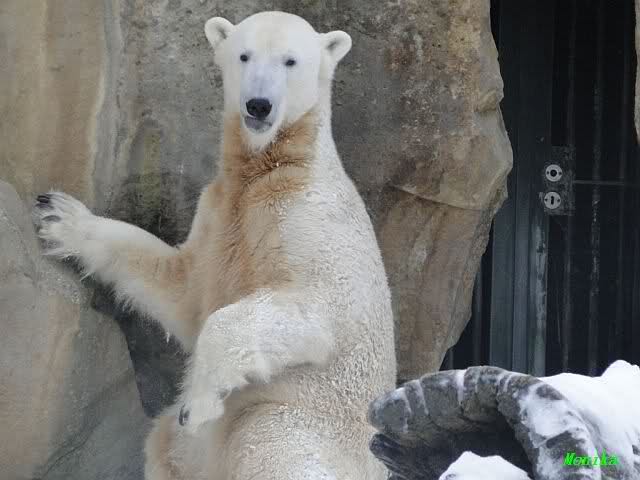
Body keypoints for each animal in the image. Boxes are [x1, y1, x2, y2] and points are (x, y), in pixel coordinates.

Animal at [32, 11, 396, 480]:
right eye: (244, 55)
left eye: (290, 60)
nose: (258, 105)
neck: (270, 170)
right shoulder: (219, 212)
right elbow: (182, 288)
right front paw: (57, 216)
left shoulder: (313, 223)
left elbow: (309, 306)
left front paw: (198, 402)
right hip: (186, 453)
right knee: (162, 445)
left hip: (301, 420)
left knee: (270, 442)